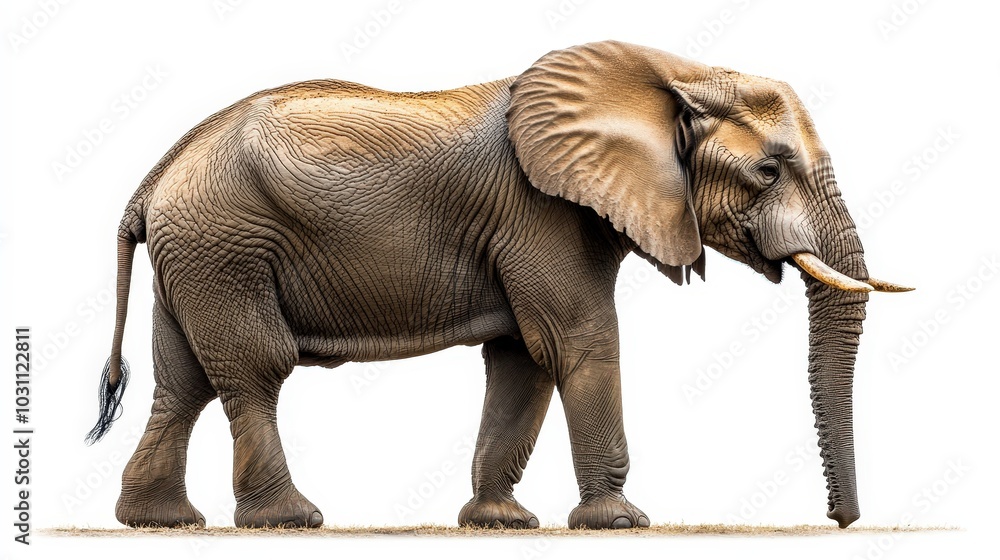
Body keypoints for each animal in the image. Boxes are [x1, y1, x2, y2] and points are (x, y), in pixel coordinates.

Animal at [87, 40, 911, 530]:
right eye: (769, 171)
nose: (841, 522)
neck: (669, 70)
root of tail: (154, 177)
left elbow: (523, 358)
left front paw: (499, 523)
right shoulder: (540, 213)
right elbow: (577, 341)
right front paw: (620, 522)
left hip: (196, 254)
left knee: (183, 381)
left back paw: (160, 521)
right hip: (225, 245)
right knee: (256, 368)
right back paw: (290, 520)